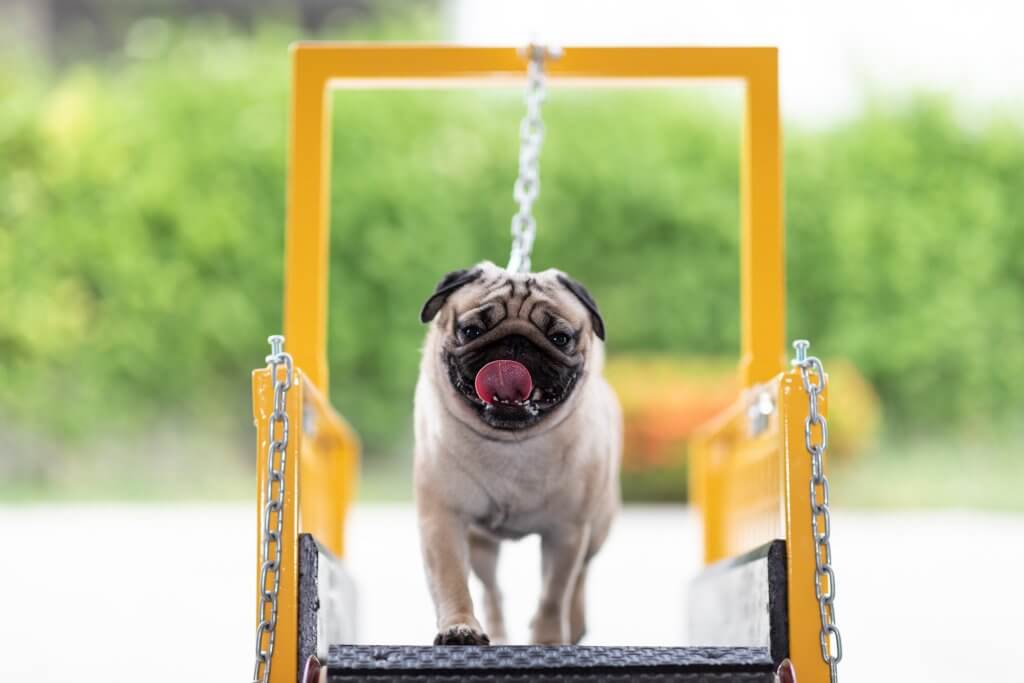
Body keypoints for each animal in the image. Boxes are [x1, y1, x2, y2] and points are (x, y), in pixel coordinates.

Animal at [411, 260, 618, 647]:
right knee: (492, 589)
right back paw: (496, 630)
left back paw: (575, 624)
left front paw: (549, 641)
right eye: (471, 330)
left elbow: (553, 594)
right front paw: (460, 626)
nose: (516, 342)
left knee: (580, 576)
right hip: (481, 545)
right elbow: (451, 580)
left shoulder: (566, 532)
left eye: (560, 338)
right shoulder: (442, 520)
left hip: (597, 528)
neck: (512, 443)